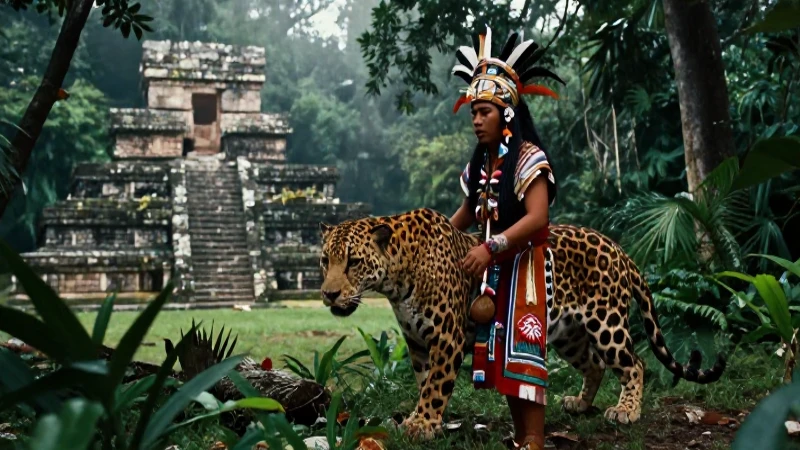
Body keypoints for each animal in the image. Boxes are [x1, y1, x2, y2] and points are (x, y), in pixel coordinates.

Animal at [318, 207, 726, 441]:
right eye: (325, 260)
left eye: (353, 262)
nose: (328, 294)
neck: (396, 278)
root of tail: (619, 248)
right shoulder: (417, 342)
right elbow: (425, 383)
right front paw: (426, 420)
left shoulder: (446, 337)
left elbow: (436, 385)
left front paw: (422, 424)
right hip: (569, 333)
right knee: (594, 364)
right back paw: (580, 403)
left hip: (607, 323)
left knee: (635, 363)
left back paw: (626, 410)